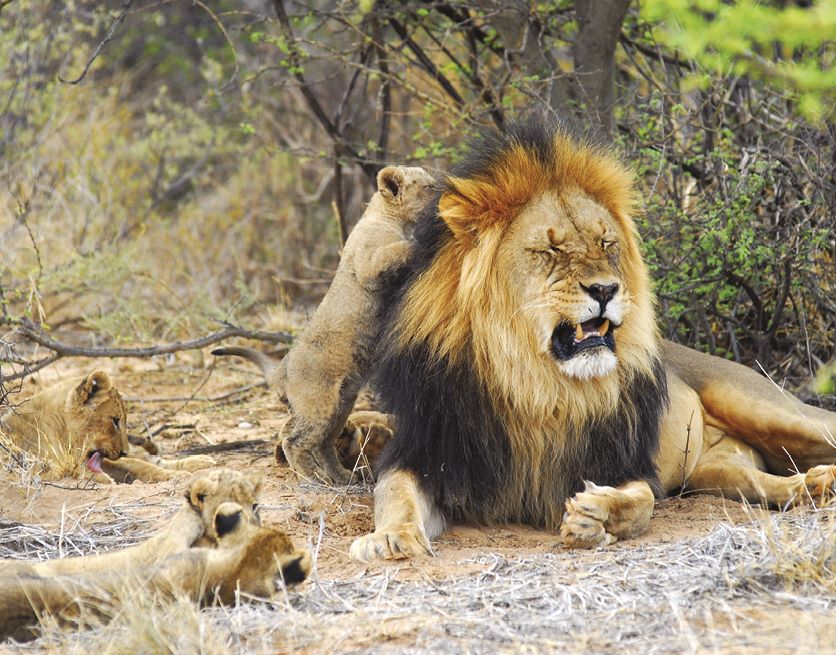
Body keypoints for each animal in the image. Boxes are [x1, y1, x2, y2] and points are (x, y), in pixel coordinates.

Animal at [1, 372, 216, 484]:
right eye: (114, 420)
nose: (123, 451)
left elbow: (140, 465)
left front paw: (177, 476)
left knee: (150, 459)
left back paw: (202, 461)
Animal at [212, 165, 434, 486]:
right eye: (429, 188)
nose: (444, 194)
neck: (390, 219)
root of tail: (282, 370)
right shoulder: (368, 262)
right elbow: (397, 251)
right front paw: (421, 242)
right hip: (319, 400)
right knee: (294, 439)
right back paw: (315, 478)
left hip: (340, 403)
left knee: (323, 442)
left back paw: (341, 476)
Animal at [348, 120, 836, 560]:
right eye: (551, 249)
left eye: (606, 244)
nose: (605, 289)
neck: (536, 387)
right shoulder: (424, 452)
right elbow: (393, 494)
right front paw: (391, 538)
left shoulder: (624, 464)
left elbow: (641, 501)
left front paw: (595, 516)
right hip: (714, 472)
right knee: (759, 482)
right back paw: (812, 485)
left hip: (774, 411)